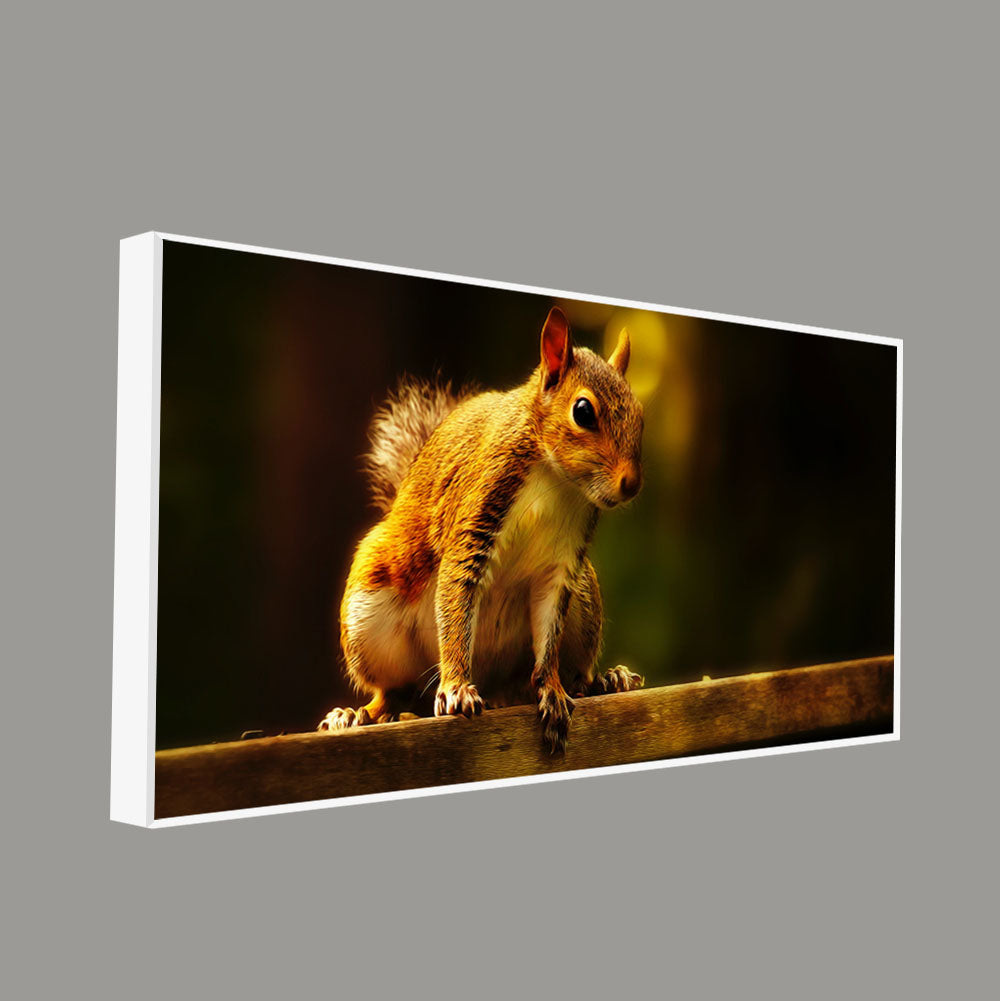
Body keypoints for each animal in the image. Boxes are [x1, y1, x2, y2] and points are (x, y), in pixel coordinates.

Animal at [318, 306, 645, 752]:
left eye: (641, 415)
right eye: (583, 411)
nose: (631, 484)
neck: (555, 478)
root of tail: (495, 689)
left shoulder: (560, 567)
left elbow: (548, 637)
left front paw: (552, 689)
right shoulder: (477, 514)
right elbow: (457, 597)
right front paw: (456, 688)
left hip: (583, 598)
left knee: (559, 673)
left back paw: (602, 682)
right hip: (369, 615)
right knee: (391, 693)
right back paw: (355, 715)